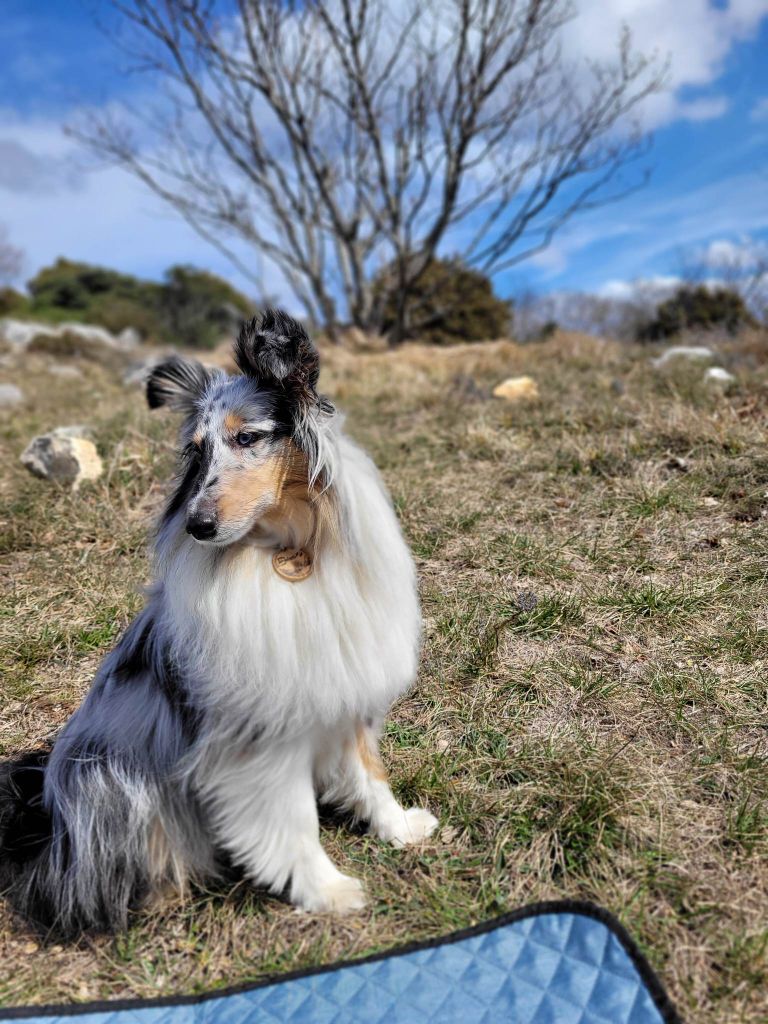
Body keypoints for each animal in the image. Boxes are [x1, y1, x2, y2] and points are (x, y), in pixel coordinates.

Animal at [0, 309, 438, 937]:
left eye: (247, 437)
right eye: (197, 450)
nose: (197, 526)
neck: (286, 555)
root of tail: (51, 831)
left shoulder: (343, 686)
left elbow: (369, 772)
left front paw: (399, 828)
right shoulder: (260, 739)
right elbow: (292, 821)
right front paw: (327, 891)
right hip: (112, 781)